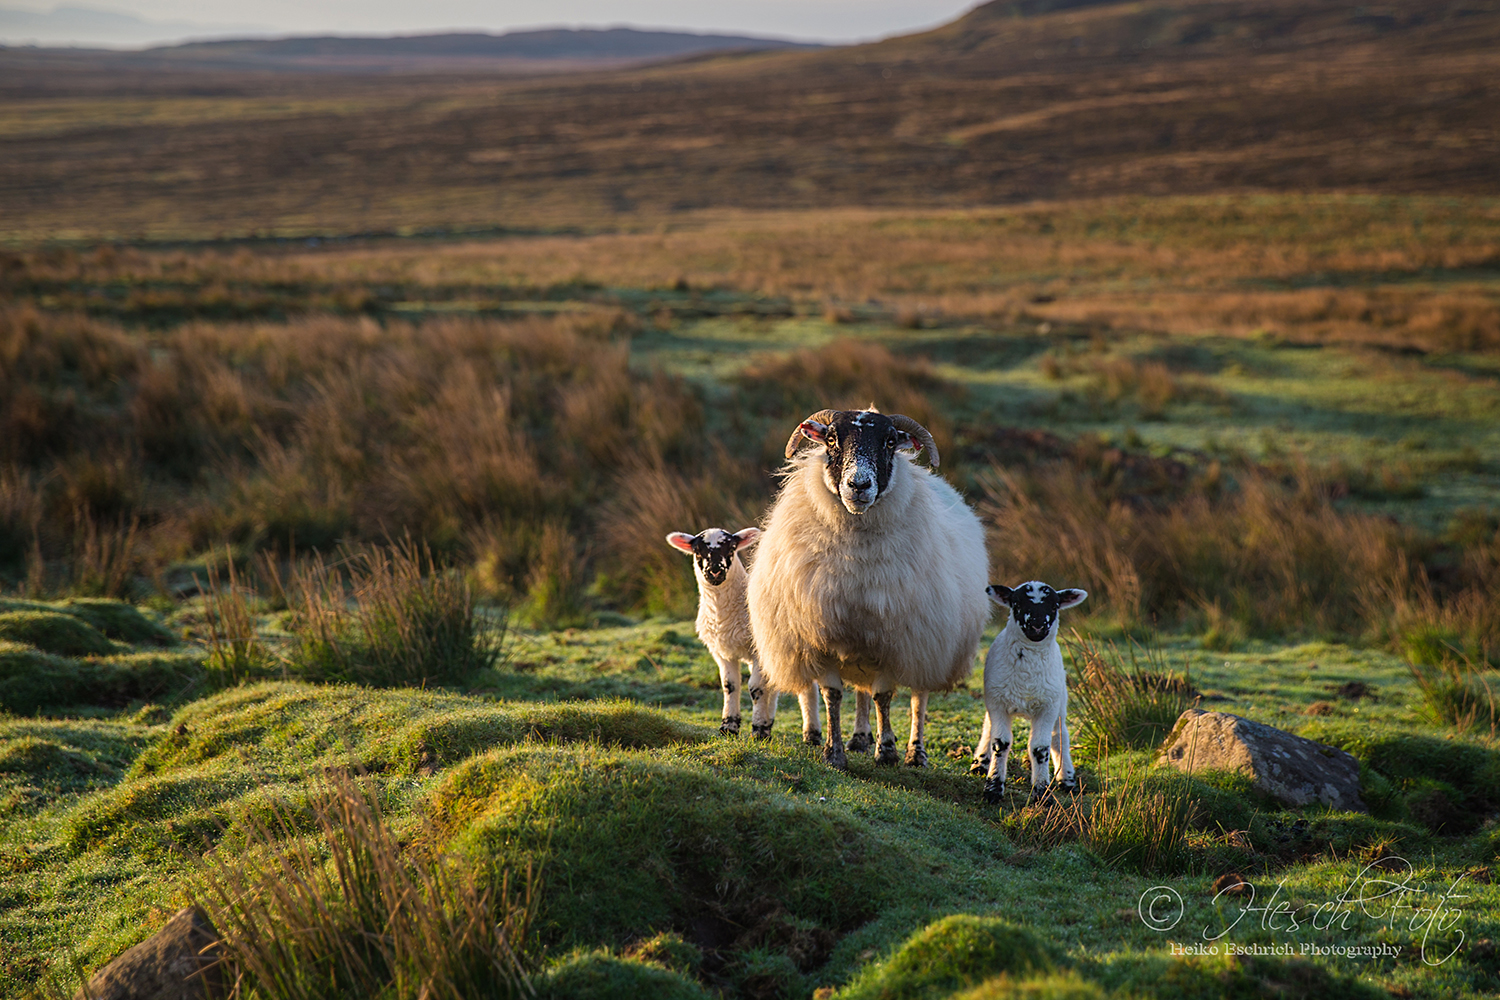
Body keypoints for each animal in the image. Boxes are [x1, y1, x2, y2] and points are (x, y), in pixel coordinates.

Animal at [663, 524, 816, 743]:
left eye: (732, 548)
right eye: (697, 550)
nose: (715, 570)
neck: (723, 615)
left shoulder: (758, 650)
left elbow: (756, 688)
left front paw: (758, 730)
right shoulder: (721, 652)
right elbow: (730, 685)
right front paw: (729, 727)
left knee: (808, 688)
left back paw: (812, 736)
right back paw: (771, 722)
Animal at [744, 410, 990, 773]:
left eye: (889, 441)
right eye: (832, 439)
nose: (858, 486)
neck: (855, 564)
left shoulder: (895, 642)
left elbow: (884, 697)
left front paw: (886, 751)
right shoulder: (824, 640)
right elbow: (833, 696)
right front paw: (834, 752)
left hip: (929, 644)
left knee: (918, 698)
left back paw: (915, 753)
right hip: (862, 647)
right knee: (861, 691)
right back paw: (859, 738)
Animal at [972, 578, 1092, 803]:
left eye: (1054, 605)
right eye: (1017, 603)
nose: (1037, 624)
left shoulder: (1047, 707)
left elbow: (1039, 748)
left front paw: (1042, 793)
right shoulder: (997, 702)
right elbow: (1000, 743)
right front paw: (993, 787)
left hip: (1059, 702)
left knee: (1060, 736)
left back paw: (1067, 779)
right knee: (988, 726)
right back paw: (981, 761)